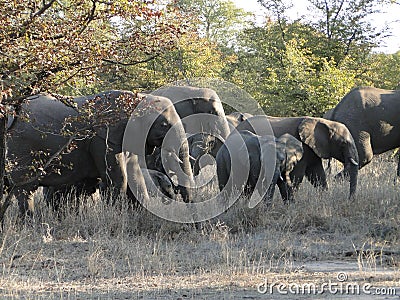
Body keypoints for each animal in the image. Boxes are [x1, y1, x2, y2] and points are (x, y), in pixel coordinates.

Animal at [6, 89, 194, 218]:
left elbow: (135, 176)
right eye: (164, 125)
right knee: (25, 188)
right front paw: (118, 217)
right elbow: (118, 179)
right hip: (21, 147)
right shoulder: (103, 140)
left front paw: (142, 216)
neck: (136, 98)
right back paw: (30, 222)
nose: (193, 222)